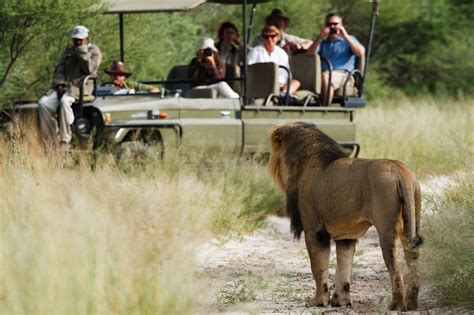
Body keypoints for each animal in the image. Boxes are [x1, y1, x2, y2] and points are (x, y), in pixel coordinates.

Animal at [268, 122, 424, 312]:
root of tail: (400, 172)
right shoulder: (346, 236)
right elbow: (344, 267)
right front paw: (341, 302)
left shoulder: (314, 230)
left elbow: (318, 266)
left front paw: (318, 301)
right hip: (412, 223)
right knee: (413, 260)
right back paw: (412, 303)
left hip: (386, 229)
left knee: (394, 267)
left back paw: (396, 305)